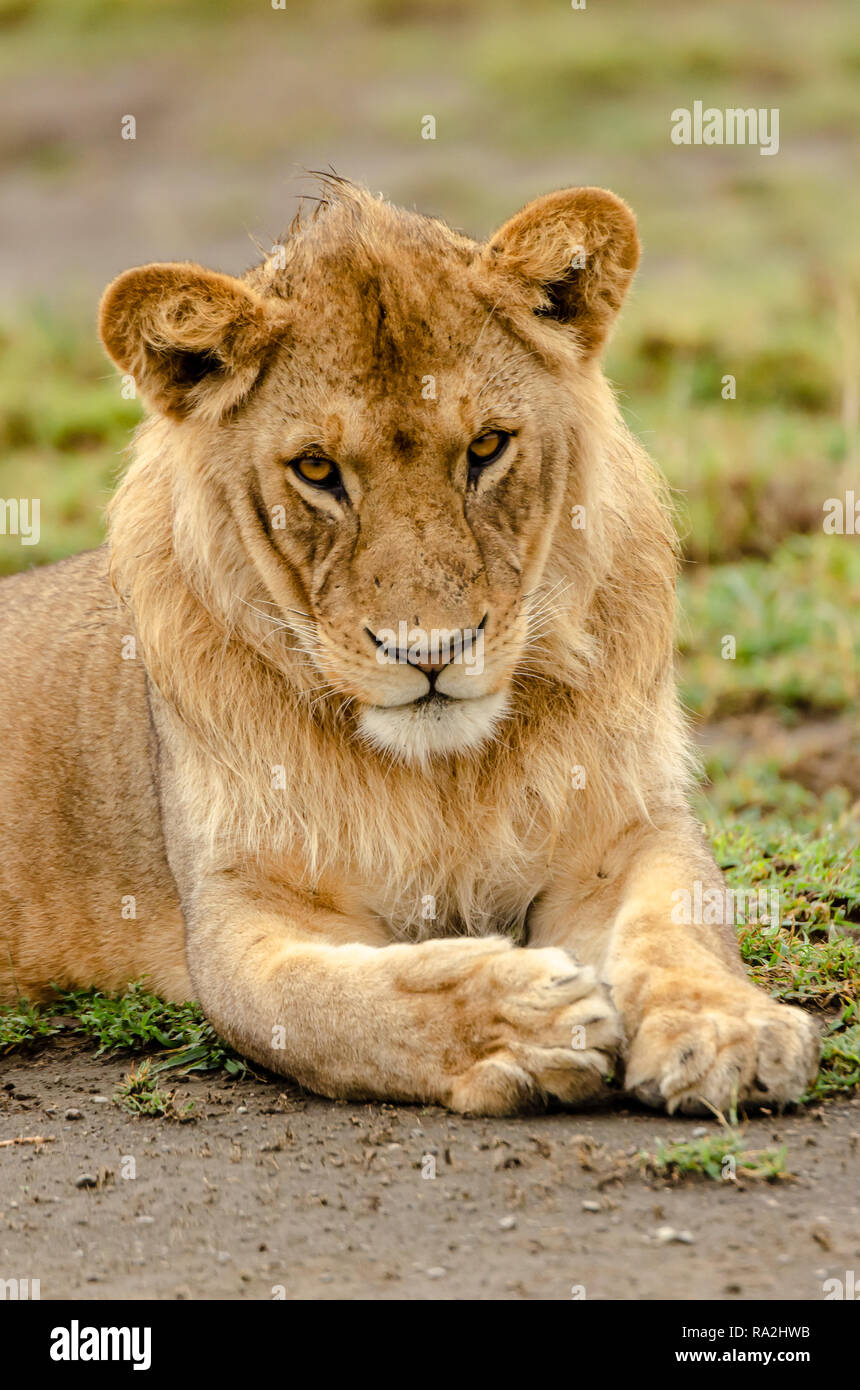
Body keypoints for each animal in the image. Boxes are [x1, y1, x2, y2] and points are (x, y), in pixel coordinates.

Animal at [0, 179, 819, 1115]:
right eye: (317, 469)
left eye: (487, 447)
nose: (429, 650)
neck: (445, 778)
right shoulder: (244, 904)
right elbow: (332, 1003)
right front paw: (520, 1024)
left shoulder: (621, 831)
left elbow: (682, 921)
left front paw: (727, 1029)